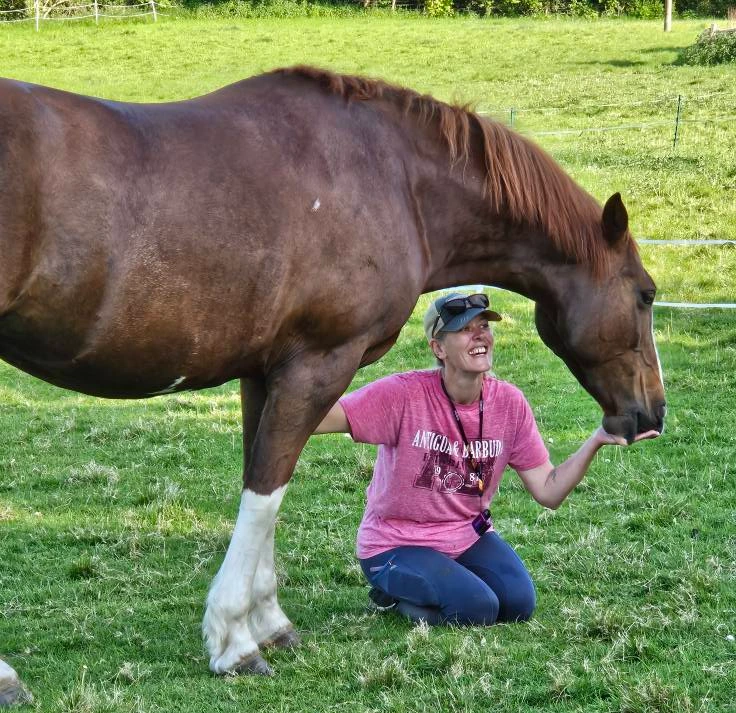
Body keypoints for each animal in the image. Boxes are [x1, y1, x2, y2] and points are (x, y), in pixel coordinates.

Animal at [0, 65, 665, 690]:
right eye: (646, 294)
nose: (651, 413)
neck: (394, 179)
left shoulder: (265, 374)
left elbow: (261, 486)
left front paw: (268, 624)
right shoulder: (319, 364)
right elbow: (266, 493)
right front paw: (234, 641)